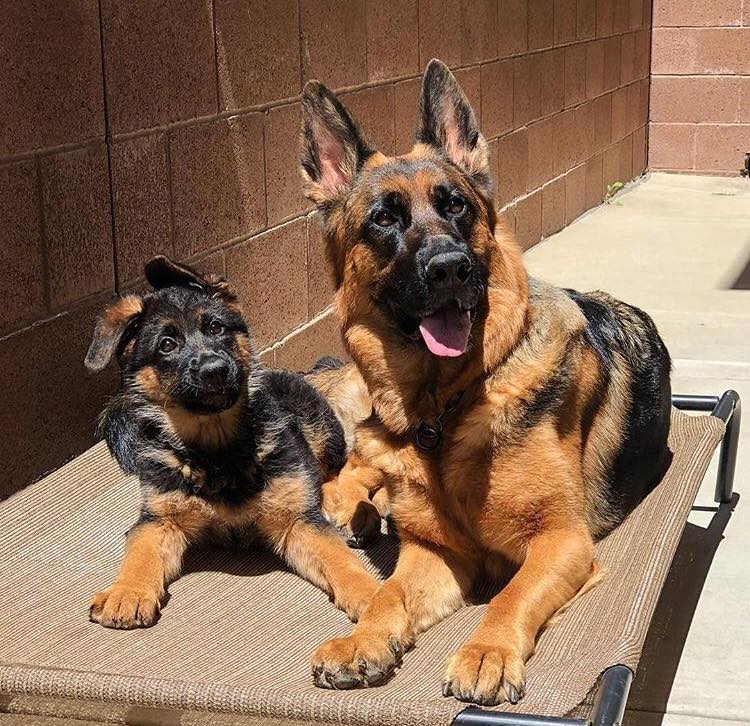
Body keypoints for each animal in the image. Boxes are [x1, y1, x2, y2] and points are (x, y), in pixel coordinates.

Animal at [85, 255, 377, 629]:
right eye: (167, 344)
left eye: (216, 328)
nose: (215, 370)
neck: (216, 447)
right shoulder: (158, 519)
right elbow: (141, 552)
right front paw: (127, 592)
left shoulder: (298, 523)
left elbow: (340, 560)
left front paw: (375, 598)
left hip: (320, 428)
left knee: (330, 471)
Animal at [298, 59, 672, 705]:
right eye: (384, 220)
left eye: (457, 208)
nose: (451, 268)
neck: (444, 407)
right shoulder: (434, 552)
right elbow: (388, 593)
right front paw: (363, 639)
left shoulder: (562, 541)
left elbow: (510, 594)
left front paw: (487, 652)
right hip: (369, 437)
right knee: (352, 468)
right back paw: (353, 509)